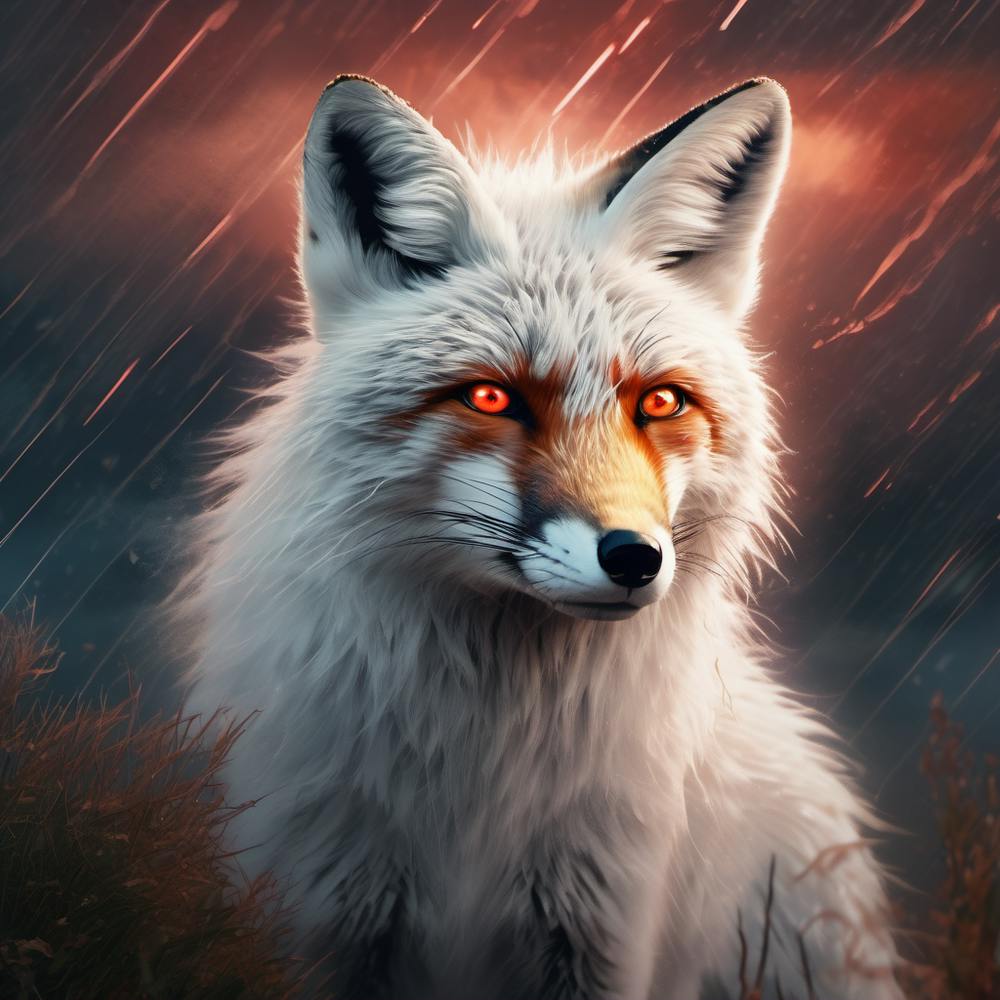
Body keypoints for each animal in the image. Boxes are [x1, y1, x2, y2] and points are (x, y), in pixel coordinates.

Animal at [177, 75, 905, 999]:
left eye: (660, 402)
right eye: (492, 398)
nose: (634, 558)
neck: (485, 778)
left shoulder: (598, 914)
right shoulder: (321, 896)